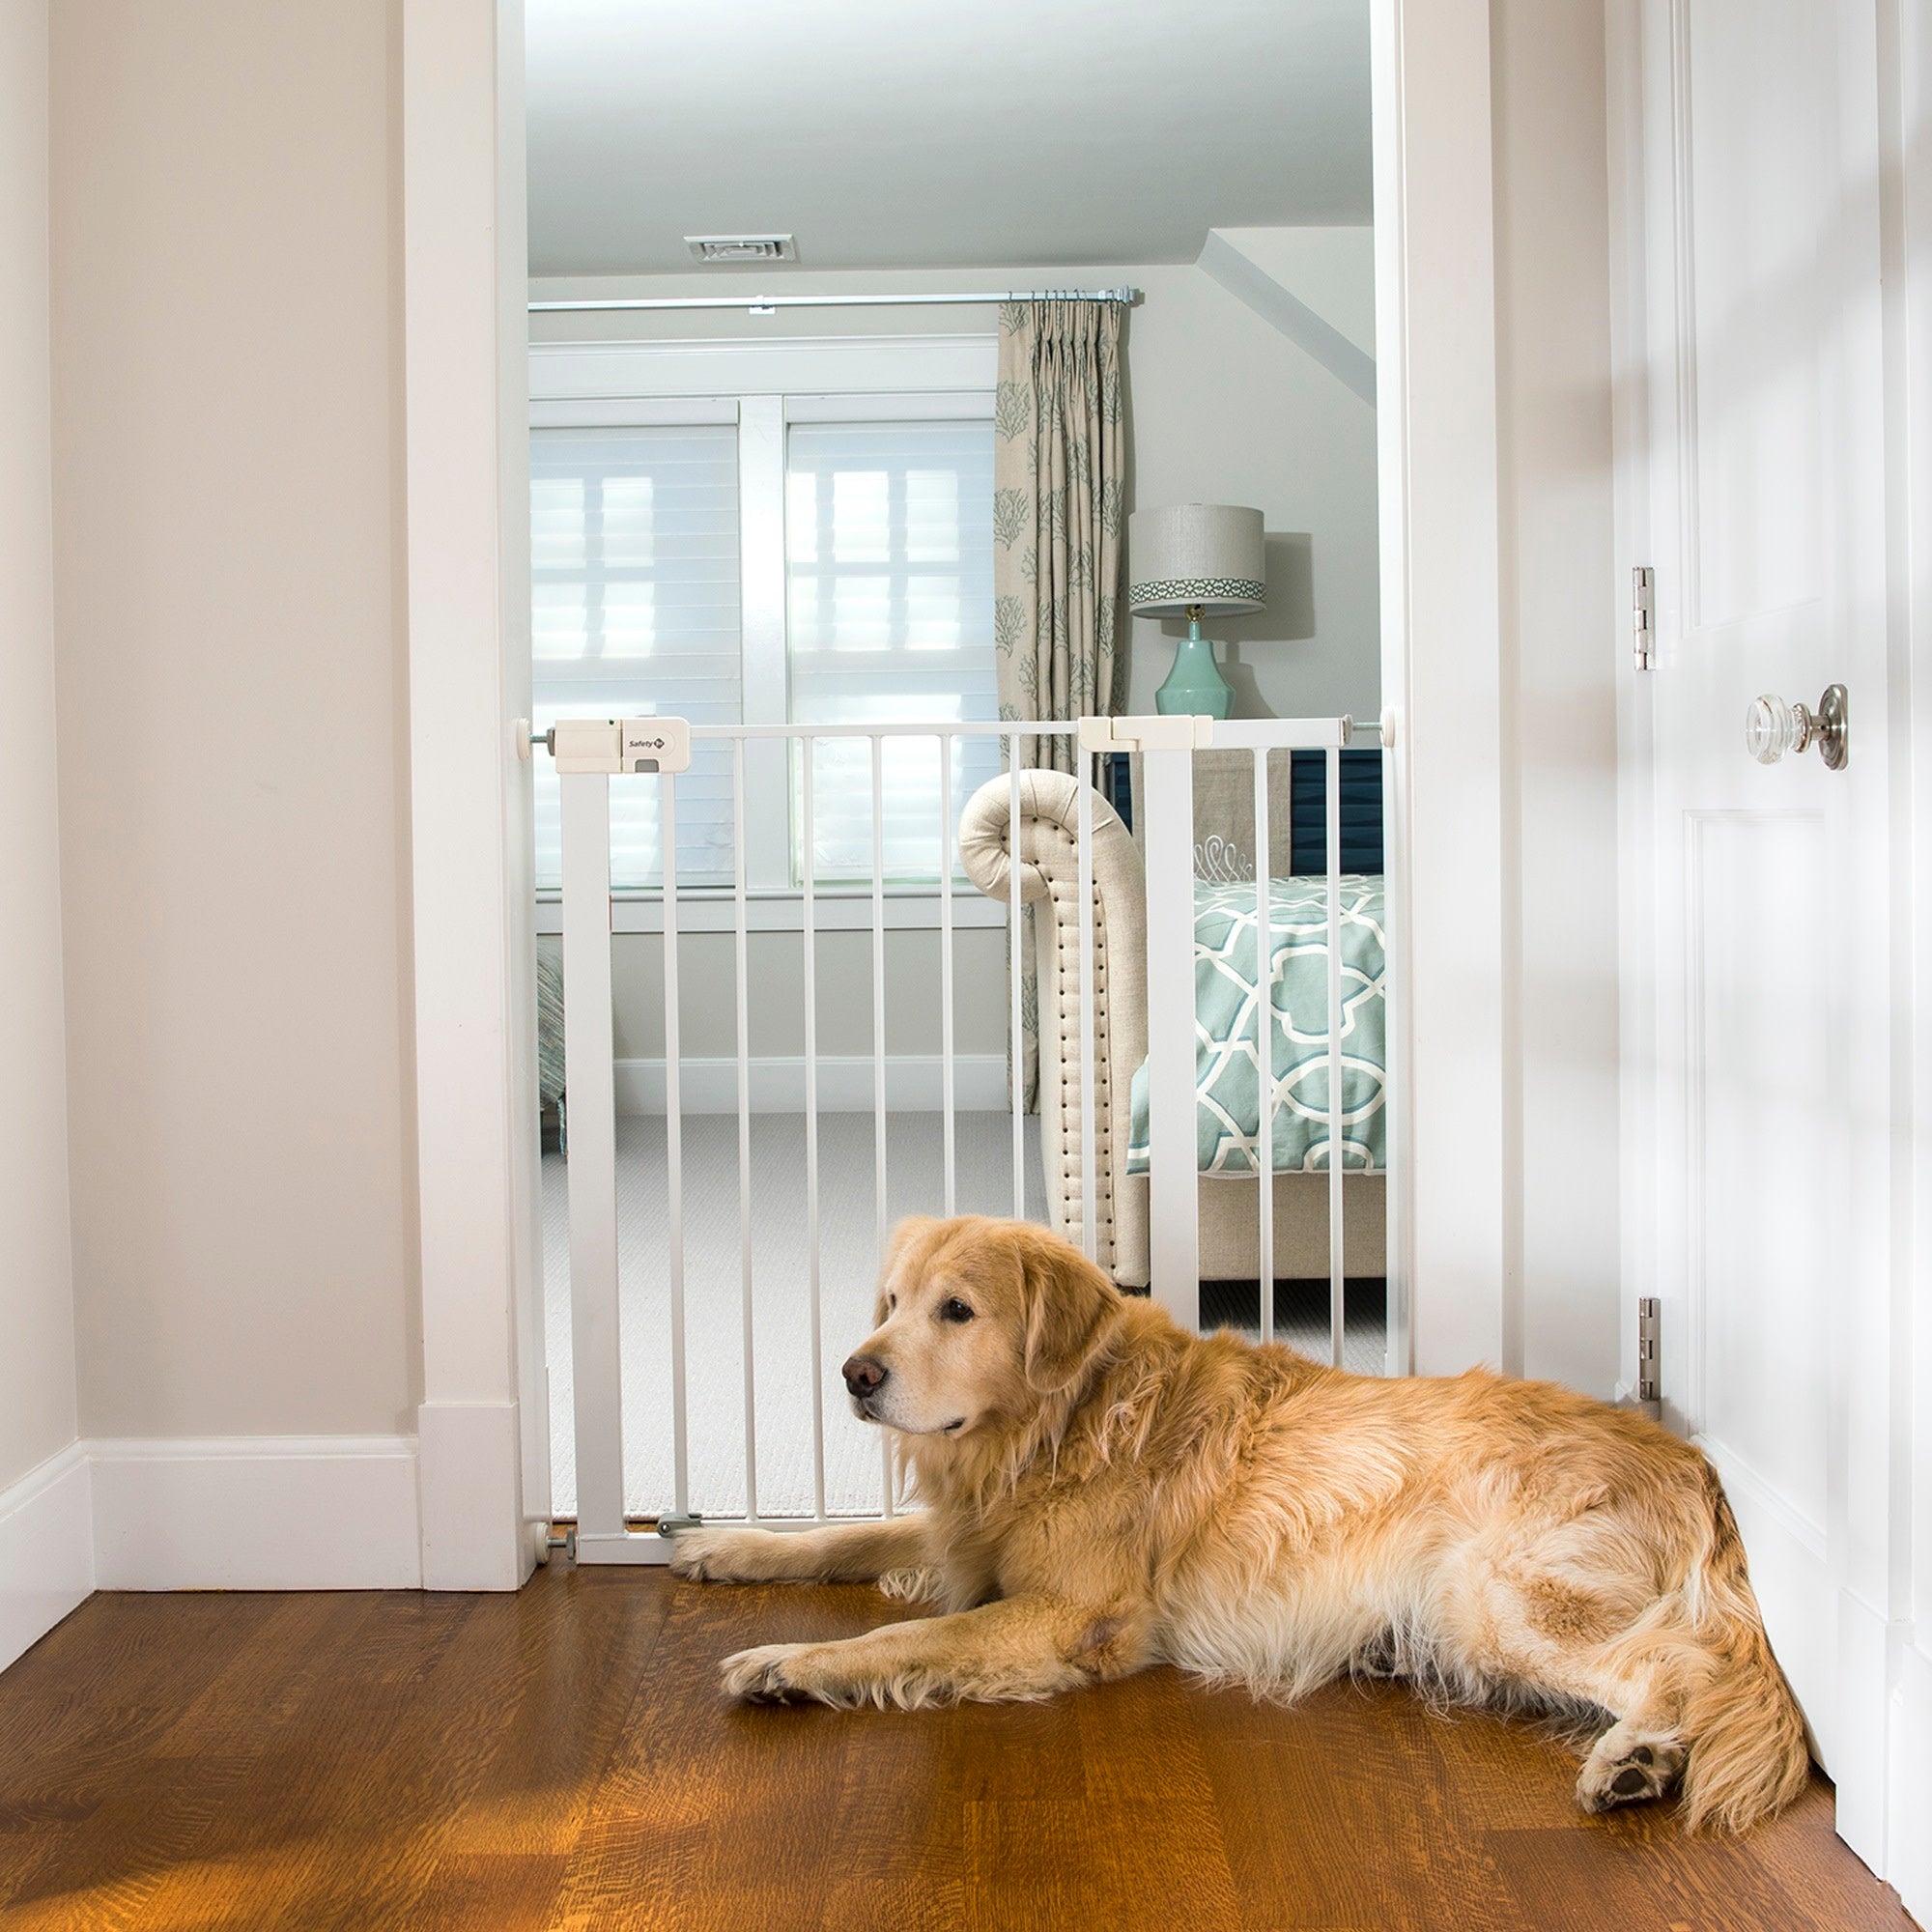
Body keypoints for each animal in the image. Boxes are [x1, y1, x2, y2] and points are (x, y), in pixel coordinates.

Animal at [668, 1213, 1808, 1832]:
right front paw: (725, 1545)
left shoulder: (1067, 1616)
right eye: (892, 1300)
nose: (854, 1374)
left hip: (1489, 1596)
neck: (1056, 1427)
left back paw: (1638, 1759)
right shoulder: (968, 1533)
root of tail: (1690, 1463)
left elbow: (901, 1634)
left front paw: (782, 1662)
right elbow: (845, 1534)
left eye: (957, 1310)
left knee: (1684, 1665)